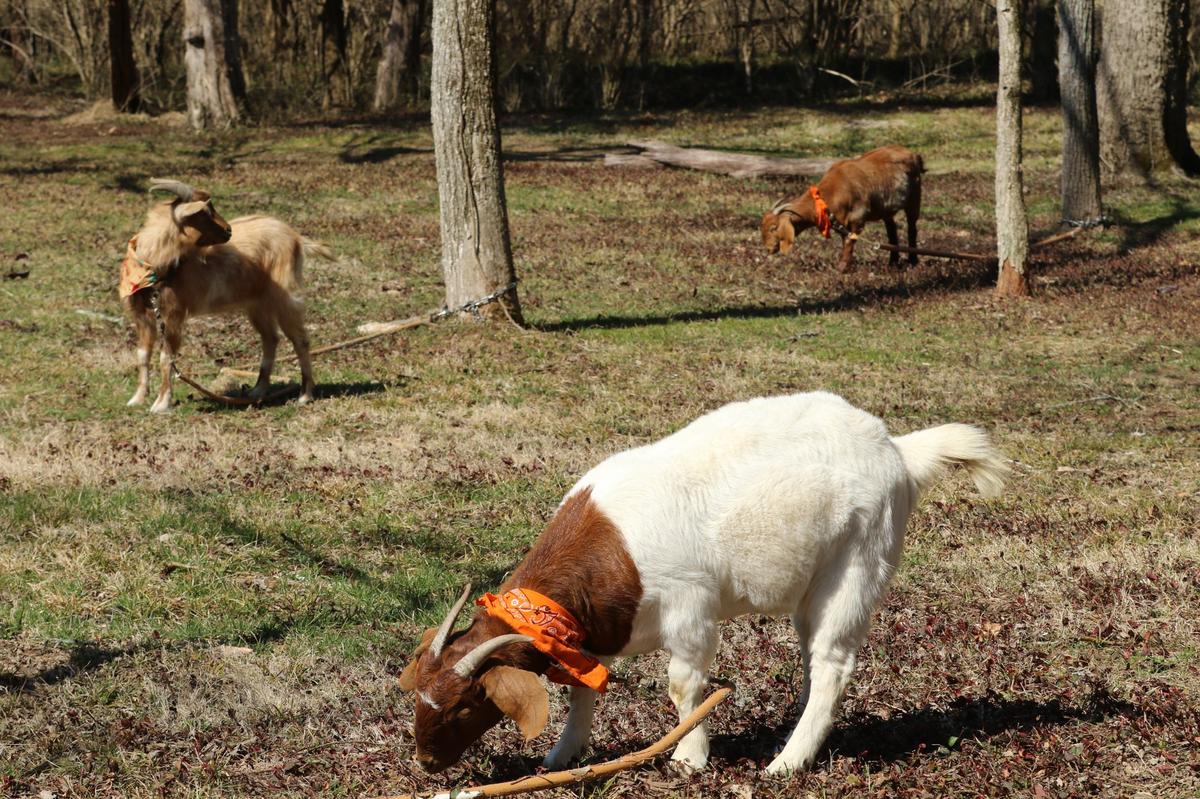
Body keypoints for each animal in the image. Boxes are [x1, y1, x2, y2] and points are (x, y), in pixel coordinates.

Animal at [120, 179, 335, 412]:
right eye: (205, 212)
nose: (228, 230)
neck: (154, 266)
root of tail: (296, 238)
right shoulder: (142, 315)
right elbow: (142, 356)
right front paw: (137, 398)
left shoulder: (173, 314)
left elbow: (165, 358)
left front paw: (161, 403)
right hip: (258, 304)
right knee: (270, 337)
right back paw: (258, 390)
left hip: (285, 297)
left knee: (300, 339)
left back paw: (305, 394)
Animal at [399, 391, 1007, 775]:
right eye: (419, 696)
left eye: (462, 707)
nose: (425, 761)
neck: (609, 548)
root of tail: (896, 448)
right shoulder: (594, 630)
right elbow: (582, 687)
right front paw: (562, 755)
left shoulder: (690, 610)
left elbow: (682, 684)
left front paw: (690, 757)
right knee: (812, 657)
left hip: (857, 564)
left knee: (833, 662)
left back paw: (788, 762)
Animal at [762, 145, 924, 272]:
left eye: (773, 228)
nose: (768, 248)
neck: (829, 195)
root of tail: (914, 155)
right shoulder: (841, 221)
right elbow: (844, 240)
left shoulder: (857, 218)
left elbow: (849, 241)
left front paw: (842, 268)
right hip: (886, 208)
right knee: (892, 229)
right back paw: (892, 262)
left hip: (914, 197)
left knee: (912, 228)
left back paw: (913, 261)